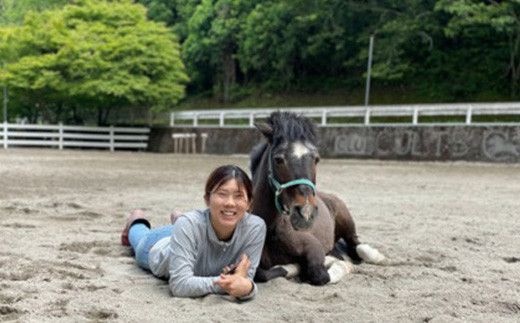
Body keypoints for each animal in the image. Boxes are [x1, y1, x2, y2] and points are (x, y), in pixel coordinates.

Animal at [252, 111, 386, 286]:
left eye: (316, 159)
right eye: (278, 159)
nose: (306, 214)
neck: (270, 231)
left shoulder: (313, 247)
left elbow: (321, 275)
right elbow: (261, 274)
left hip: (346, 219)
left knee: (356, 245)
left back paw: (376, 257)